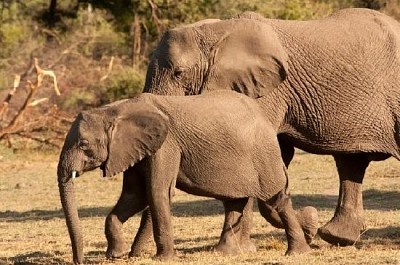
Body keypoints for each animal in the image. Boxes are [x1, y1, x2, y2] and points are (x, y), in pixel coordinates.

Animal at [57, 90, 318, 262]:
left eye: (83, 144)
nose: (79, 261)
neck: (116, 109)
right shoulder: (136, 149)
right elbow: (134, 196)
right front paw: (117, 255)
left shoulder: (166, 145)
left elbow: (156, 192)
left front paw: (163, 260)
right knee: (235, 201)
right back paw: (223, 253)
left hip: (264, 154)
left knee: (277, 199)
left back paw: (296, 252)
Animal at [140, 8, 400, 248]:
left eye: (178, 73)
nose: (134, 254)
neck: (217, 31)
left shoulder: (268, 90)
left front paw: (305, 226)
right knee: (351, 163)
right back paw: (335, 236)